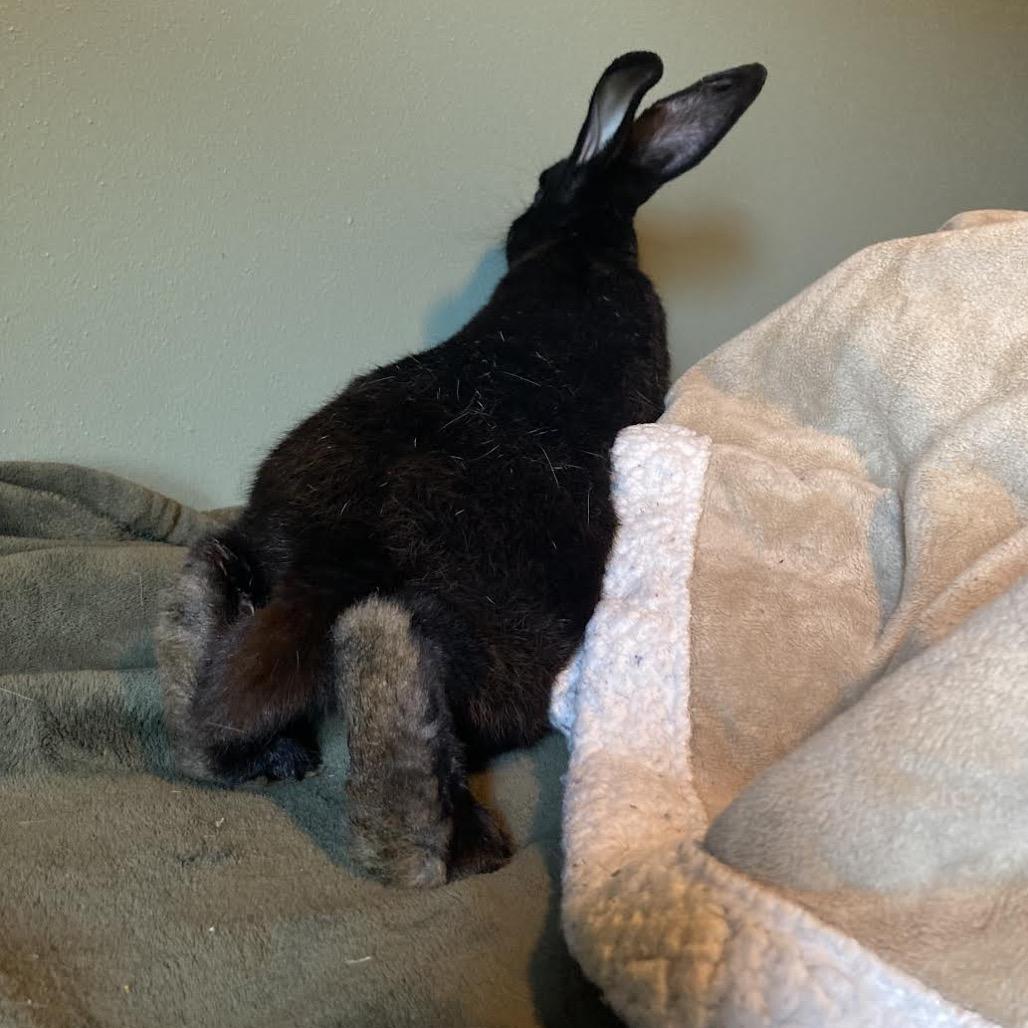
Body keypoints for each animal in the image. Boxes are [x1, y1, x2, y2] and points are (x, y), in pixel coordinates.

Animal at [157, 51, 766, 887]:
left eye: (541, 183)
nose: (511, 227)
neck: (590, 243)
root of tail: (337, 551)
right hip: (518, 660)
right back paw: (452, 845)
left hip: (260, 558)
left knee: (216, 617)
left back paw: (246, 746)